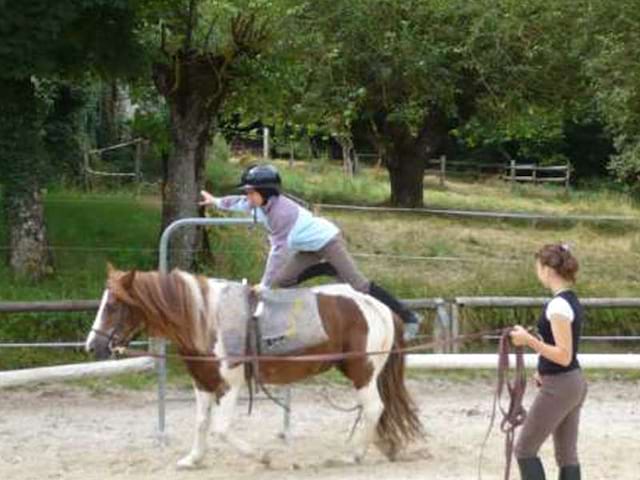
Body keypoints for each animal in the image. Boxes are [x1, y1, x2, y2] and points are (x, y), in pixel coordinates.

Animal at [86, 266, 424, 468]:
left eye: (112, 305)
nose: (92, 346)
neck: (207, 318)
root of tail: (382, 308)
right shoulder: (202, 382)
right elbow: (201, 422)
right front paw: (193, 458)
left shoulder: (230, 385)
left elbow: (221, 428)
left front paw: (261, 456)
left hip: (362, 372)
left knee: (374, 408)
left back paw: (352, 454)